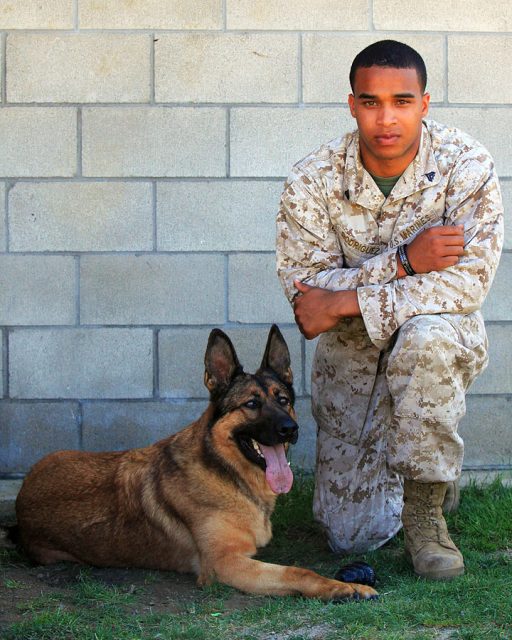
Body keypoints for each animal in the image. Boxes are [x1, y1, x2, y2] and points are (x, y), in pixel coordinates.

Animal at [12, 328, 378, 604]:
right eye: (251, 404)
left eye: (283, 399)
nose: (290, 428)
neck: (227, 472)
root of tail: (21, 498)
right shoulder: (224, 564)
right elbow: (297, 570)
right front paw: (343, 587)